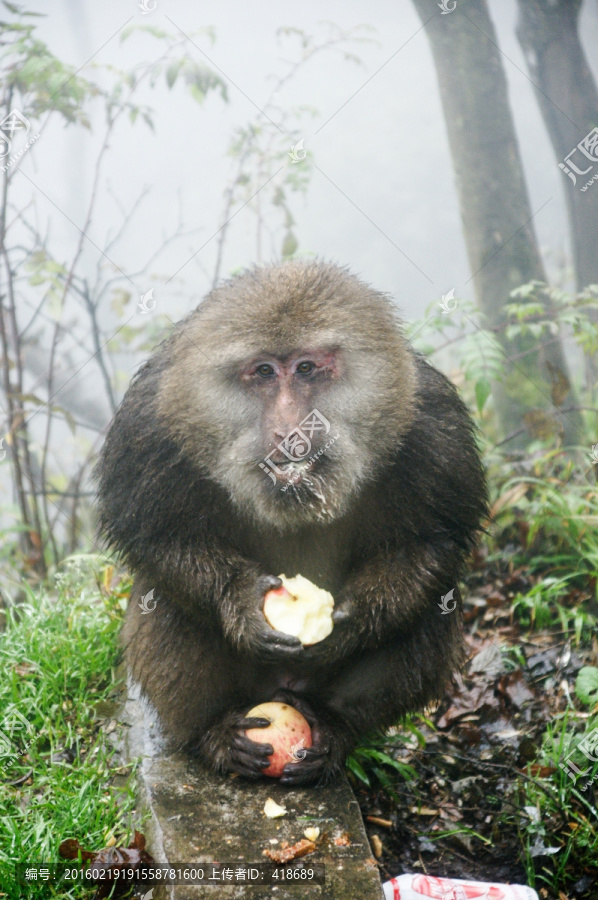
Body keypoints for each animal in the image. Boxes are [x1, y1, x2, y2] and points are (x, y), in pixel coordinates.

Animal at [94, 260, 488, 788]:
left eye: (306, 368)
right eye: (263, 371)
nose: (290, 429)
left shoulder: (434, 424)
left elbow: (432, 542)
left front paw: (351, 624)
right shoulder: (147, 427)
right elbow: (154, 537)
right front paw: (239, 600)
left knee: (429, 610)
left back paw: (335, 729)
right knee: (168, 604)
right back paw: (214, 736)